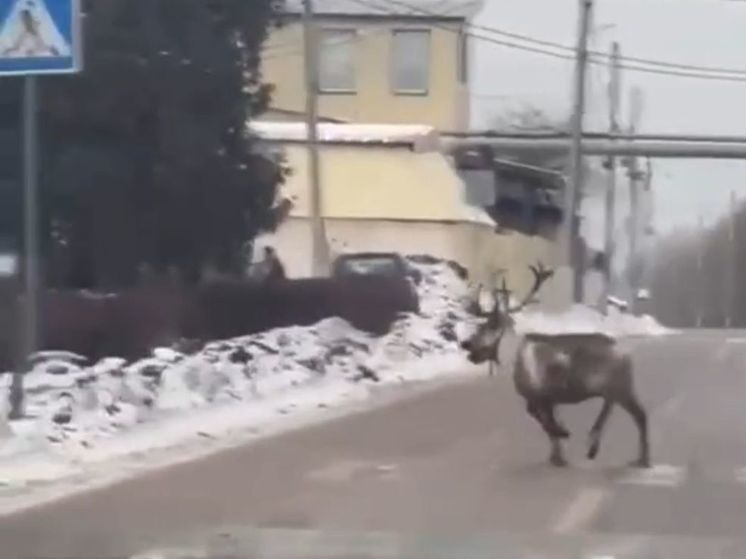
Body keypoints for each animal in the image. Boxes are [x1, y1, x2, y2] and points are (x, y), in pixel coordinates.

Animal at [462, 264, 648, 470]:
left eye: (487, 327)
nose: (466, 345)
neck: (512, 357)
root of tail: (625, 353)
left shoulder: (540, 396)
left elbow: (545, 422)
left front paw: (563, 436)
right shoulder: (549, 399)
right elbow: (549, 425)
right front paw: (557, 456)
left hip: (619, 386)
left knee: (631, 412)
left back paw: (622, 453)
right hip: (621, 387)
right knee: (631, 411)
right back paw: (625, 454)